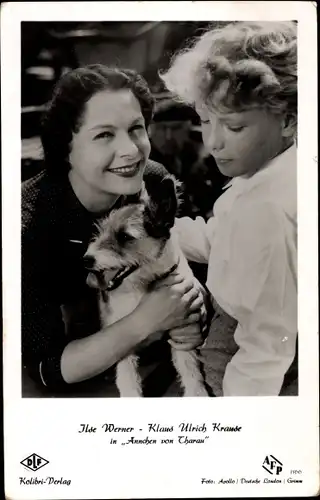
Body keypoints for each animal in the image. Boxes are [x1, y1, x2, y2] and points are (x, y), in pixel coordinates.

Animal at [84, 177, 209, 398]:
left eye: (125, 237)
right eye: (101, 230)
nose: (86, 260)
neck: (143, 287)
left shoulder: (182, 332)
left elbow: (190, 369)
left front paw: (198, 393)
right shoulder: (121, 339)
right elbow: (127, 377)